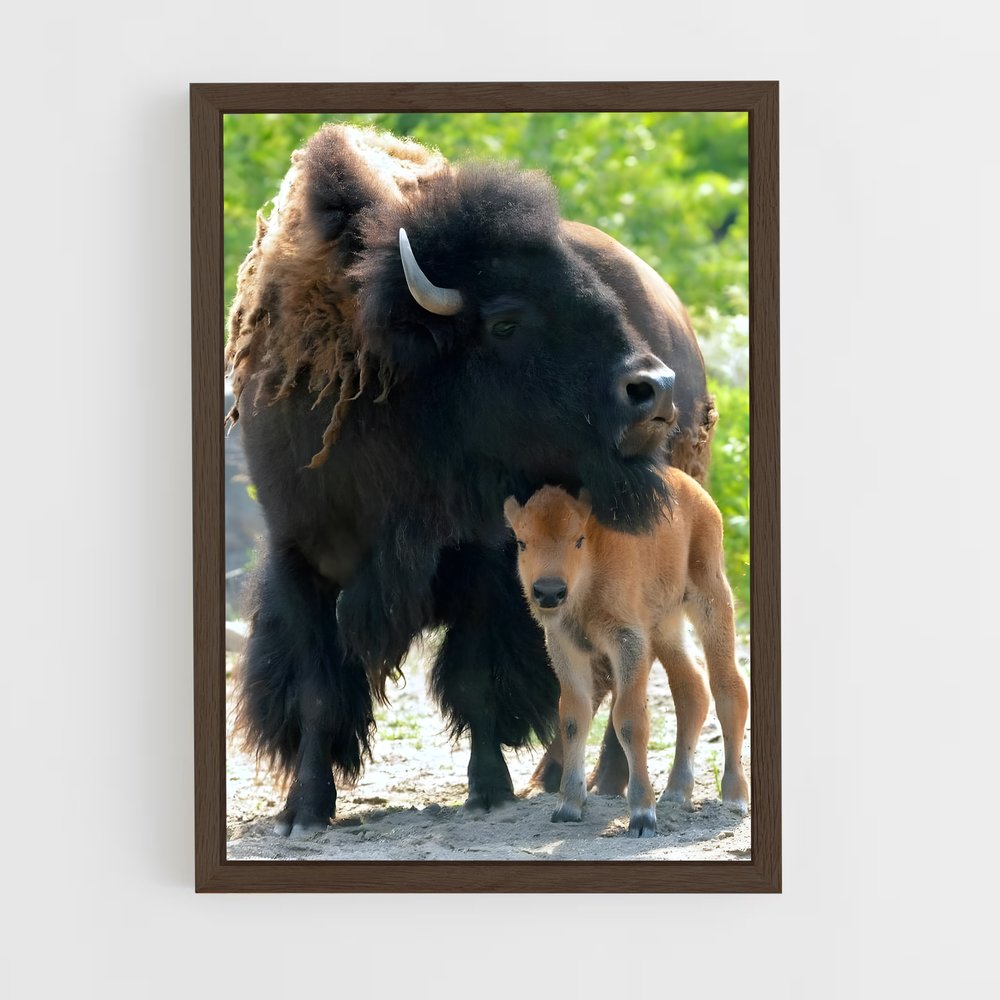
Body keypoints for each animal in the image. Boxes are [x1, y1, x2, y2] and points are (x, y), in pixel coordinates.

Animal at [226, 124, 717, 835]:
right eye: (505, 321)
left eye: (591, 293)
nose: (653, 390)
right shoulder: (303, 559)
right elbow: (319, 692)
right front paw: (304, 811)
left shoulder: (489, 558)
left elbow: (480, 679)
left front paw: (489, 791)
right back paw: (561, 780)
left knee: (624, 664)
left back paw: (598, 782)